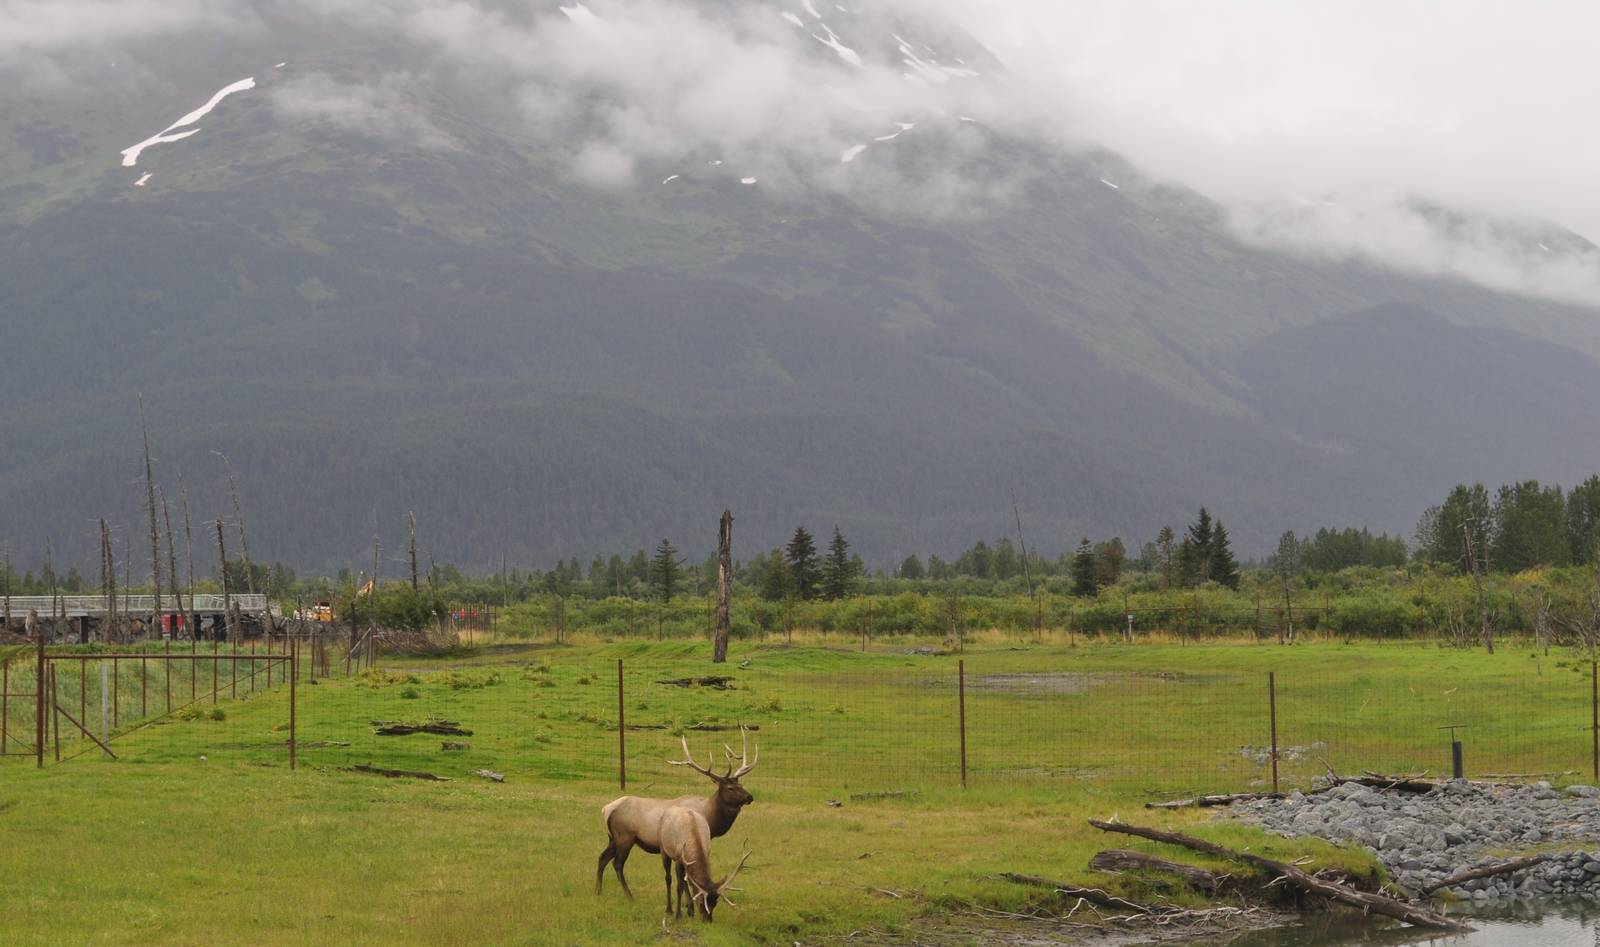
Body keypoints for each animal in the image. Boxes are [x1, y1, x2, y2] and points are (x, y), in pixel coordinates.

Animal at [596, 726, 757, 899]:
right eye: (730, 788)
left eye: (741, 784)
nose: (750, 796)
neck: (710, 817)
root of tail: (606, 809)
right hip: (625, 836)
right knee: (617, 863)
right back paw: (629, 896)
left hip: (612, 837)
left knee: (602, 857)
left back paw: (598, 891)